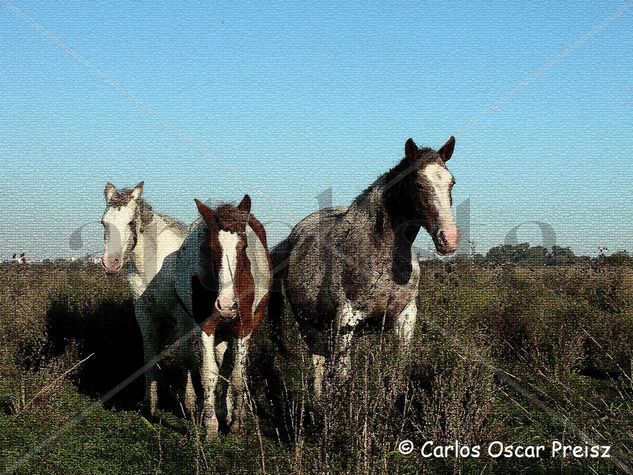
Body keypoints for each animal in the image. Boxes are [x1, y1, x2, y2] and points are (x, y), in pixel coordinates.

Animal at [174, 196, 270, 438]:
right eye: (210, 248)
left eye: (243, 246)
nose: (226, 306)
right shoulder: (206, 325)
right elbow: (209, 372)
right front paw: (211, 427)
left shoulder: (244, 326)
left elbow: (237, 375)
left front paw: (237, 423)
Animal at [272, 139, 460, 398]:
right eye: (417, 183)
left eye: (451, 182)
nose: (448, 239)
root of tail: (293, 239)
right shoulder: (346, 319)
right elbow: (342, 376)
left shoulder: (405, 318)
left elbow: (400, 372)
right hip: (308, 324)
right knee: (319, 363)